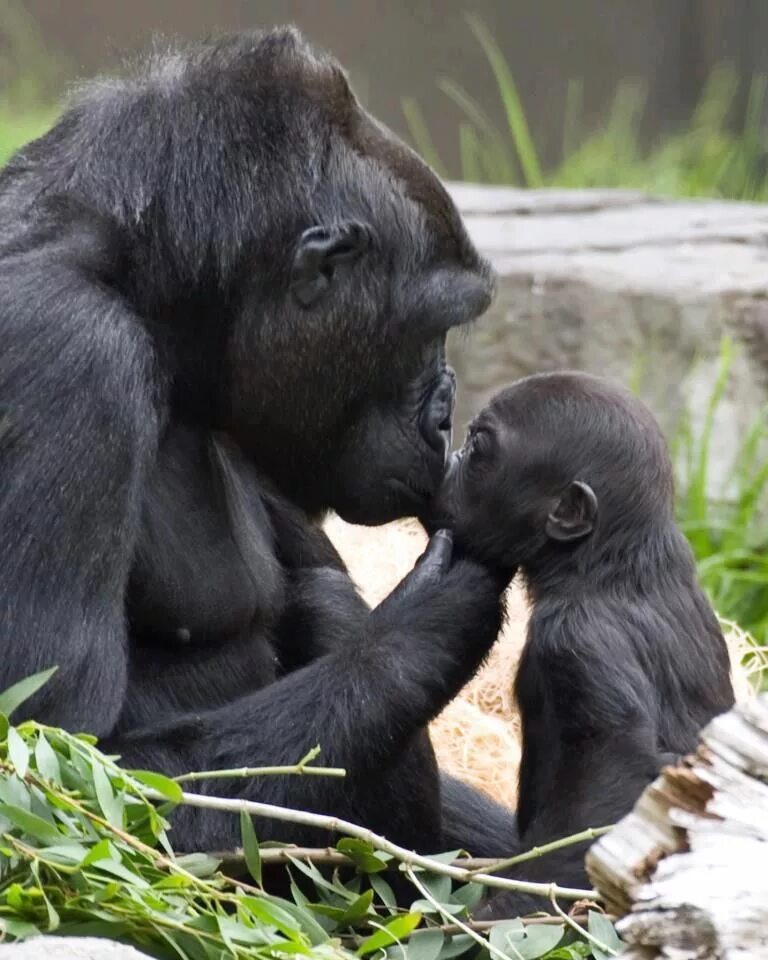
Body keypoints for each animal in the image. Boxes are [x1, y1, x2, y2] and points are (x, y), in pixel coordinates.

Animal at [0, 28, 516, 856]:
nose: (445, 413)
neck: (147, 282)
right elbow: (65, 772)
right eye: (435, 325)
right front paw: (421, 630)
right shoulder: (68, 345)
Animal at [428, 372, 736, 920]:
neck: (604, 565)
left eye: (480, 447)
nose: (451, 459)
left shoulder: (578, 640)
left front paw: (497, 917)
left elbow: (617, 785)